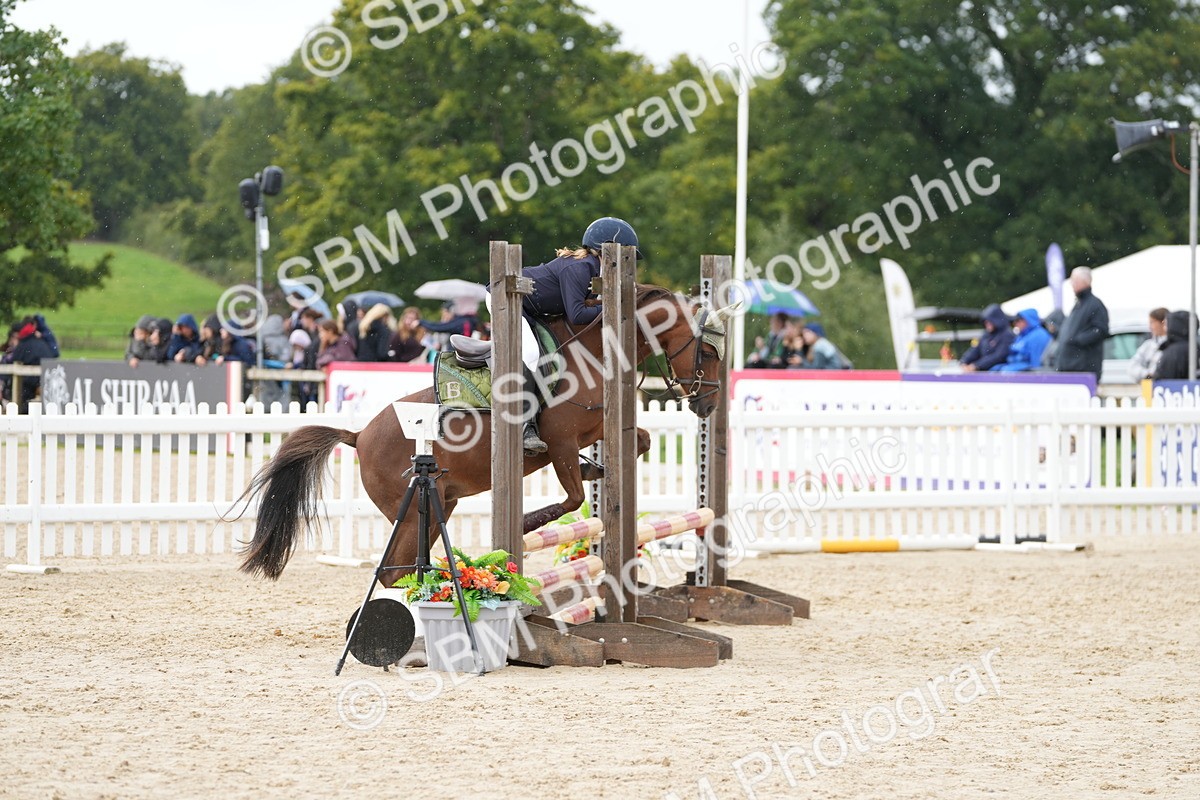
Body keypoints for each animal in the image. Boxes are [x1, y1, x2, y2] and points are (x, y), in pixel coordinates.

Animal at [237, 285, 736, 587]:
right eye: (710, 351)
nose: (708, 404)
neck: (595, 352)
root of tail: (358, 435)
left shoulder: (594, 430)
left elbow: (638, 446)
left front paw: (599, 471)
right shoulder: (559, 442)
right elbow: (573, 498)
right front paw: (522, 525)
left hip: (436, 505)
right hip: (413, 510)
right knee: (394, 571)